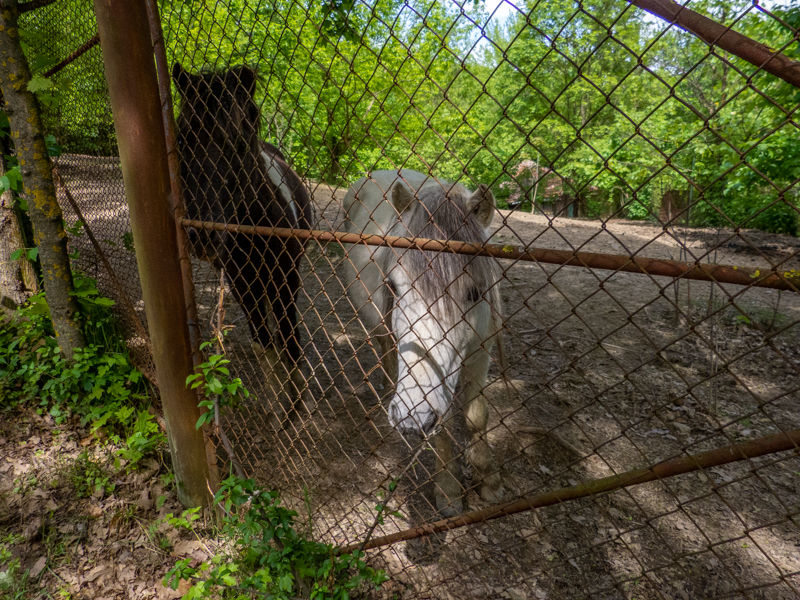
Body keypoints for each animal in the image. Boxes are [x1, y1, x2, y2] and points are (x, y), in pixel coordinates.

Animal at [172, 64, 314, 429]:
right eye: (182, 139)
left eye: (238, 141)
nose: (202, 234)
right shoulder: (241, 281)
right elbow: (263, 343)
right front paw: (279, 407)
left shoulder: (287, 277)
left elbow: (289, 339)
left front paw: (296, 403)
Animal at [340, 170, 504, 516]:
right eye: (393, 285)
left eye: (476, 292)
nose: (410, 415)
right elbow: (444, 426)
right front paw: (450, 492)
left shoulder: (481, 353)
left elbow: (476, 417)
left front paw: (489, 479)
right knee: (385, 346)